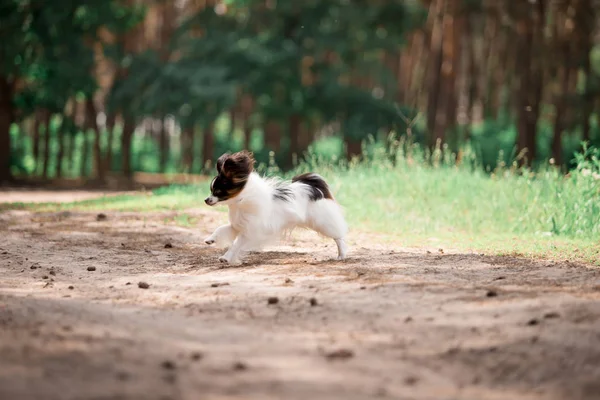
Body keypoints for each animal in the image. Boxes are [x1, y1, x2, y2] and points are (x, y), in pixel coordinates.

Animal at [204, 150, 350, 266]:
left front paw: (226, 257)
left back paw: (341, 254)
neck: (241, 199)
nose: (206, 200)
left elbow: (235, 244)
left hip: (321, 221)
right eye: (211, 190)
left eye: (217, 191)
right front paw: (210, 239)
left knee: (338, 236)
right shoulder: (238, 225)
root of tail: (311, 187)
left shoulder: (250, 231)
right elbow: (221, 229)